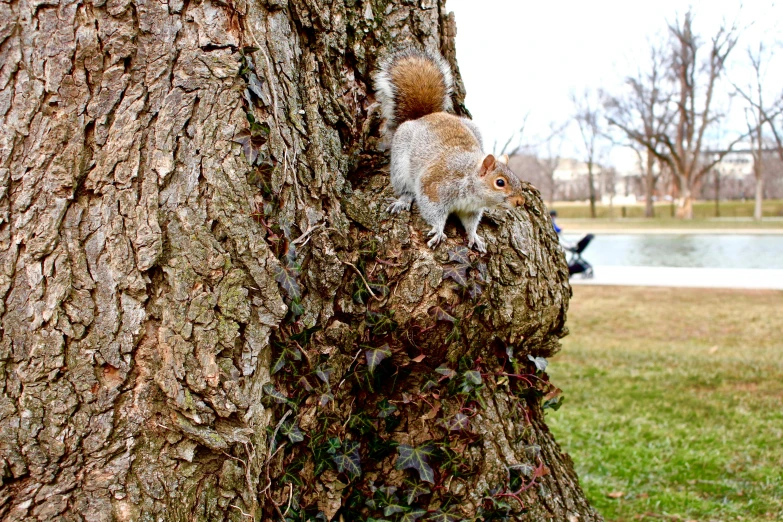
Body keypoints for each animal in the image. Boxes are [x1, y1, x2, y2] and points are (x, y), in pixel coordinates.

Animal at [374, 48, 528, 252]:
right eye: (500, 182)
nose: (520, 202)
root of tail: (425, 116)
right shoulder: (433, 187)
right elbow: (433, 211)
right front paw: (438, 230)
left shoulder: (471, 210)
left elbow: (470, 223)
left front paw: (474, 236)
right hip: (400, 163)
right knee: (405, 187)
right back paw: (403, 200)